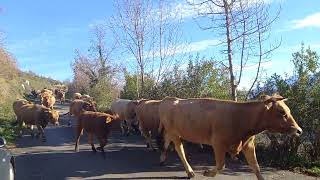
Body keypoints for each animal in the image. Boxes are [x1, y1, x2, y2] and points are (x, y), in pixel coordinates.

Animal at [159, 95, 302, 179]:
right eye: (282, 112)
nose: (299, 130)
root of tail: (169, 99)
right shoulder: (218, 143)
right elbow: (221, 165)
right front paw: (208, 173)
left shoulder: (249, 144)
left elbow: (256, 167)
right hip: (174, 132)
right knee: (180, 149)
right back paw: (190, 172)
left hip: (172, 132)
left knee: (166, 142)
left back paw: (162, 159)